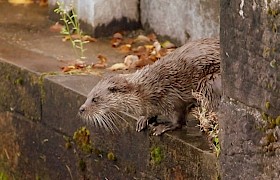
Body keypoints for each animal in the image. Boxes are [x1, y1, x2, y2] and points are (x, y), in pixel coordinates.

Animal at [77, 38, 220, 136]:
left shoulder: (172, 98)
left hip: (208, 82)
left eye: (95, 99)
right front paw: (144, 119)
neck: (147, 91)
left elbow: (178, 120)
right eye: (88, 96)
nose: (81, 109)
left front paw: (163, 127)